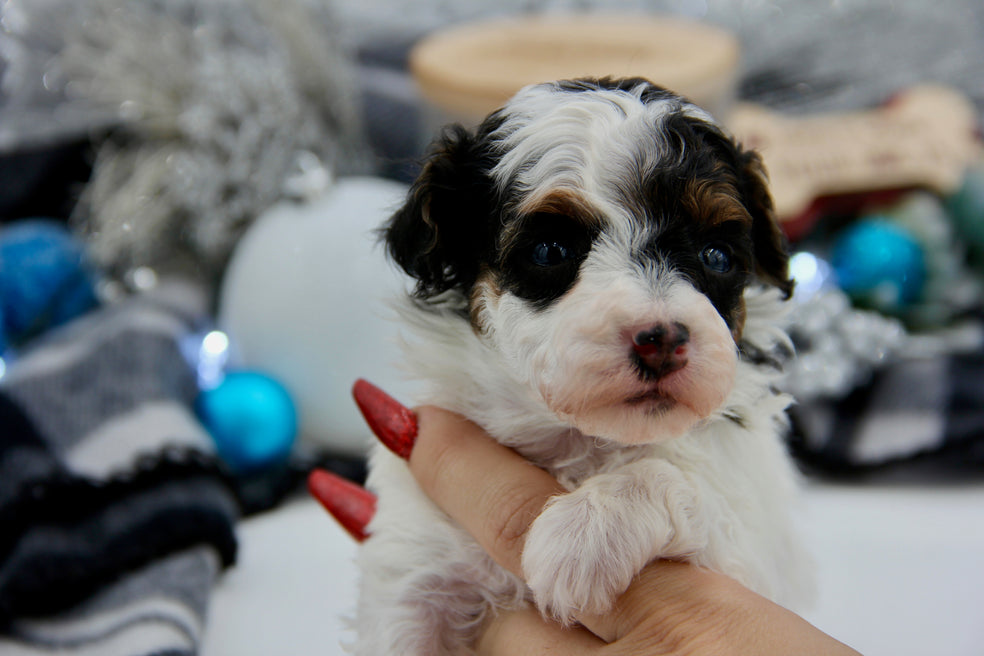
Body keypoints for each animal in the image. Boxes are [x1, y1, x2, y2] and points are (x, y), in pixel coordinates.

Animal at [358, 78, 812, 656]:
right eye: (551, 250)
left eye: (716, 256)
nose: (663, 340)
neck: (581, 441)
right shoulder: (416, 567)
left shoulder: (753, 551)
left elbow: (685, 479)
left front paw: (586, 533)